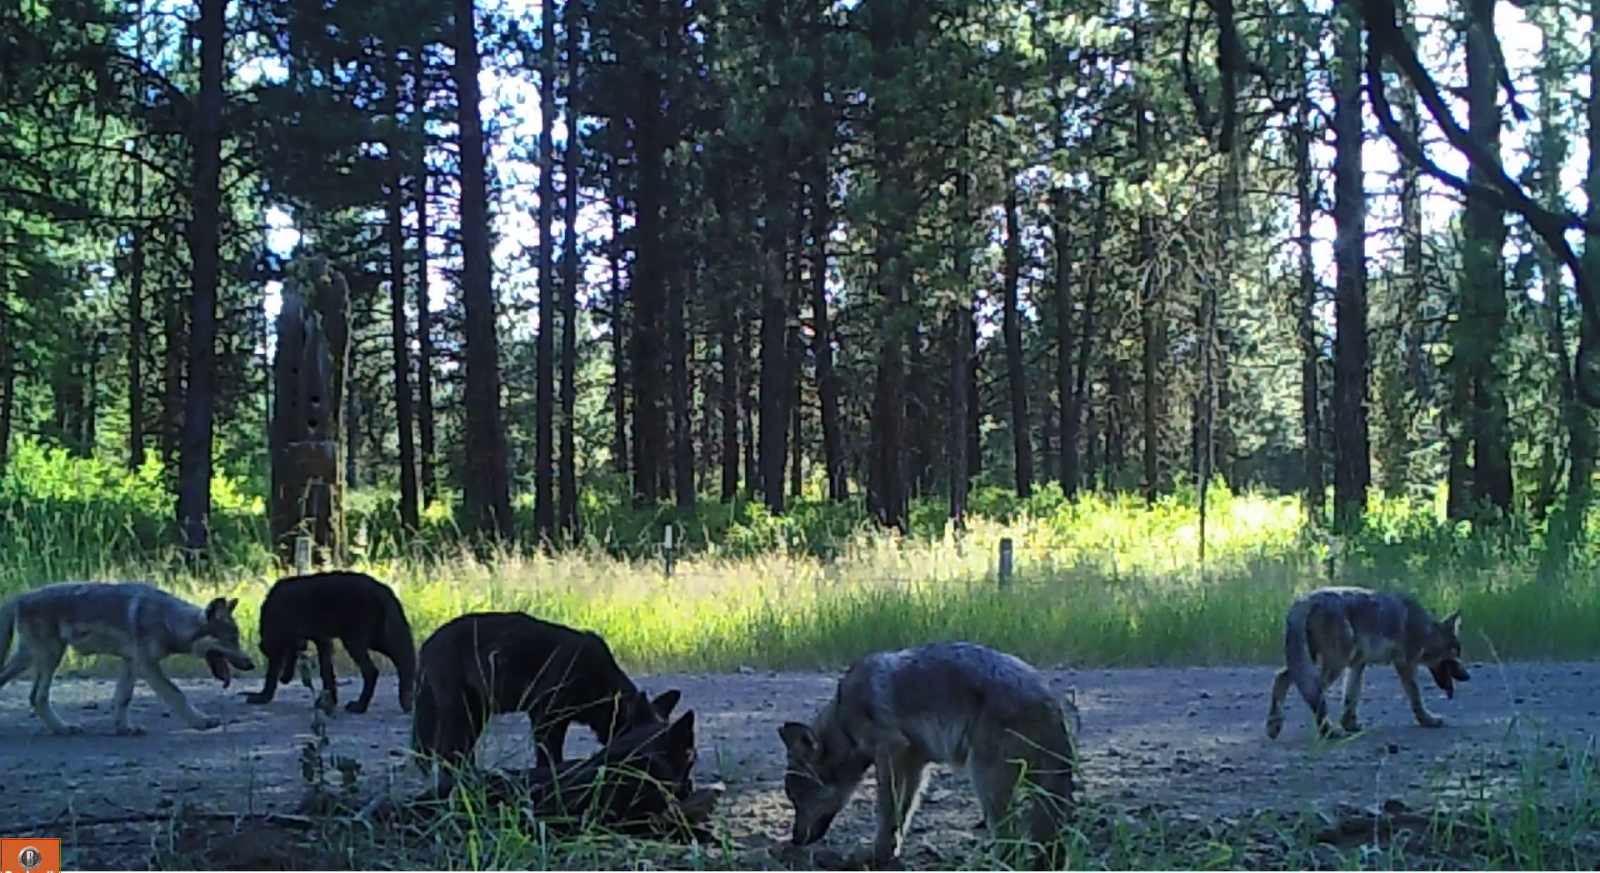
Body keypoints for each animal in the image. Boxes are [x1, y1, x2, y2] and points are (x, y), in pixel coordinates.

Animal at [0, 582, 254, 729]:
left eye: (237, 639)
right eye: (230, 640)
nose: (250, 663)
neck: (169, 620)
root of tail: (19, 596)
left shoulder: (132, 663)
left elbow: (123, 698)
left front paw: (125, 729)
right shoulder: (148, 666)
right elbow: (177, 694)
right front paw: (201, 721)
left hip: (31, 658)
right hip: (50, 657)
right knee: (37, 697)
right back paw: (64, 728)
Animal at [1267, 582, 1465, 738]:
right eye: (1457, 652)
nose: (1467, 675)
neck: (1425, 631)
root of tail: (1306, 599)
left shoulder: (1358, 664)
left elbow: (1351, 698)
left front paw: (1350, 725)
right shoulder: (1405, 665)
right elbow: (1416, 697)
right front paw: (1428, 720)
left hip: (1311, 661)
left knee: (1281, 678)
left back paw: (1274, 725)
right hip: (1334, 664)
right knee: (1316, 693)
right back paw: (1328, 732)